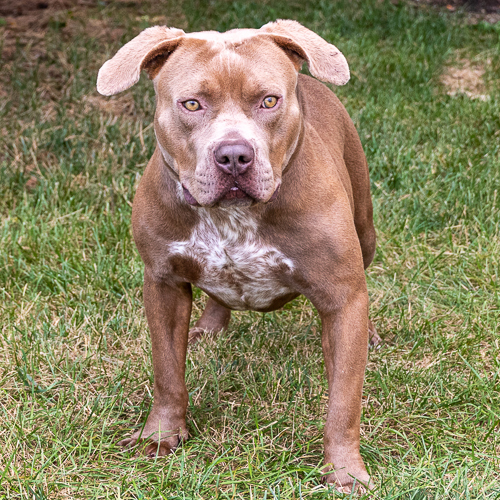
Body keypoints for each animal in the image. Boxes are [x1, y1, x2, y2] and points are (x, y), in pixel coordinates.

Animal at [97, 20, 376, 492]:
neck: (232, 217)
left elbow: (343, 402)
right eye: (192, 103)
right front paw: (161, 435)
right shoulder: (163, 283)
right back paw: (210, 325)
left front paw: (344, 472)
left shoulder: (341, 298)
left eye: (269, 101)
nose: (233, 155)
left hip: (366, 230)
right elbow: (167, 373)